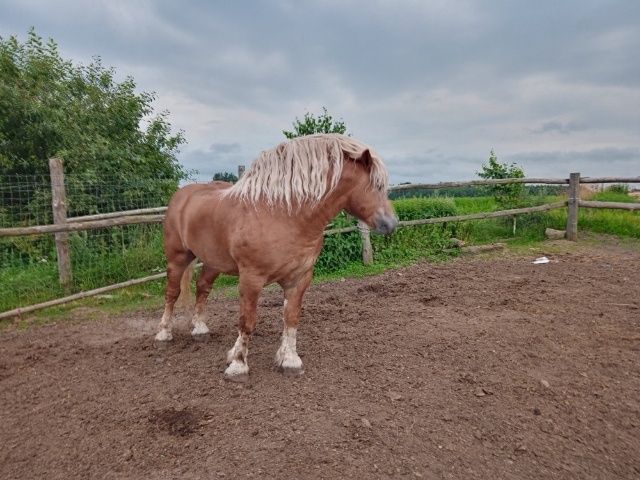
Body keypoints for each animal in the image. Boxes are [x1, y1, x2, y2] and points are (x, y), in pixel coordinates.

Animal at [155, 133, 398, 380]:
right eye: (377, 185)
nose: (391, 224)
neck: (282, 213)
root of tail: (182, 196)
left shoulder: (299, 279)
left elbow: (291, 317)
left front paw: (289, 360)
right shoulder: (251, 279)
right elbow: (247, 320)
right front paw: (238, 365)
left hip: (213, 262)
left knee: (202, 287)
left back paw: (200, 329)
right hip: (177, 258)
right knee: (172, 293)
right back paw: (164, 333)